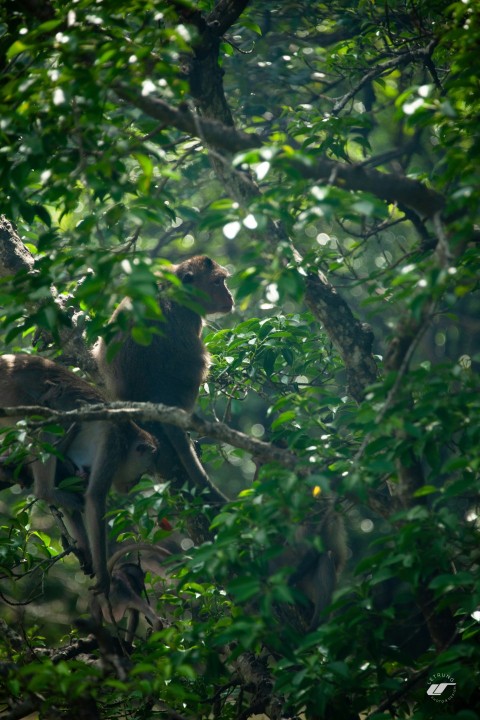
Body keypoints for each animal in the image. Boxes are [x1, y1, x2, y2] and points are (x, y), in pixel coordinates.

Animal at [0, 354, 158, 596]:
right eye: (143, 472)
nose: (135, 483)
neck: (127, 435)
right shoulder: (113, 444)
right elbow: (94, 498)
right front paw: (104, 575)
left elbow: (72, 484)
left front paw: (85, 550)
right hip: (11, 393)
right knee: (43, 421)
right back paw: (44, 489)